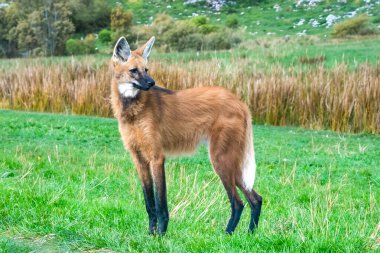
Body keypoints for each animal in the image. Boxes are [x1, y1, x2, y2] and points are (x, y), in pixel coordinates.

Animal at [110, 37, 262, 235]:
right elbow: (149, 203)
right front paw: (150, 234)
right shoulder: (139, 159)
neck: (133, 111)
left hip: (220, 160)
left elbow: (160, 203)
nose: (152, 83)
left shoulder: (157, 157)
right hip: (231, 163)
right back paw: (250, 234)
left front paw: (161, 235)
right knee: (256, 199)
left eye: (146, 69)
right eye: (134, 71)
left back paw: (227, 235)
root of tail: (240, 102)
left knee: (238, 202)